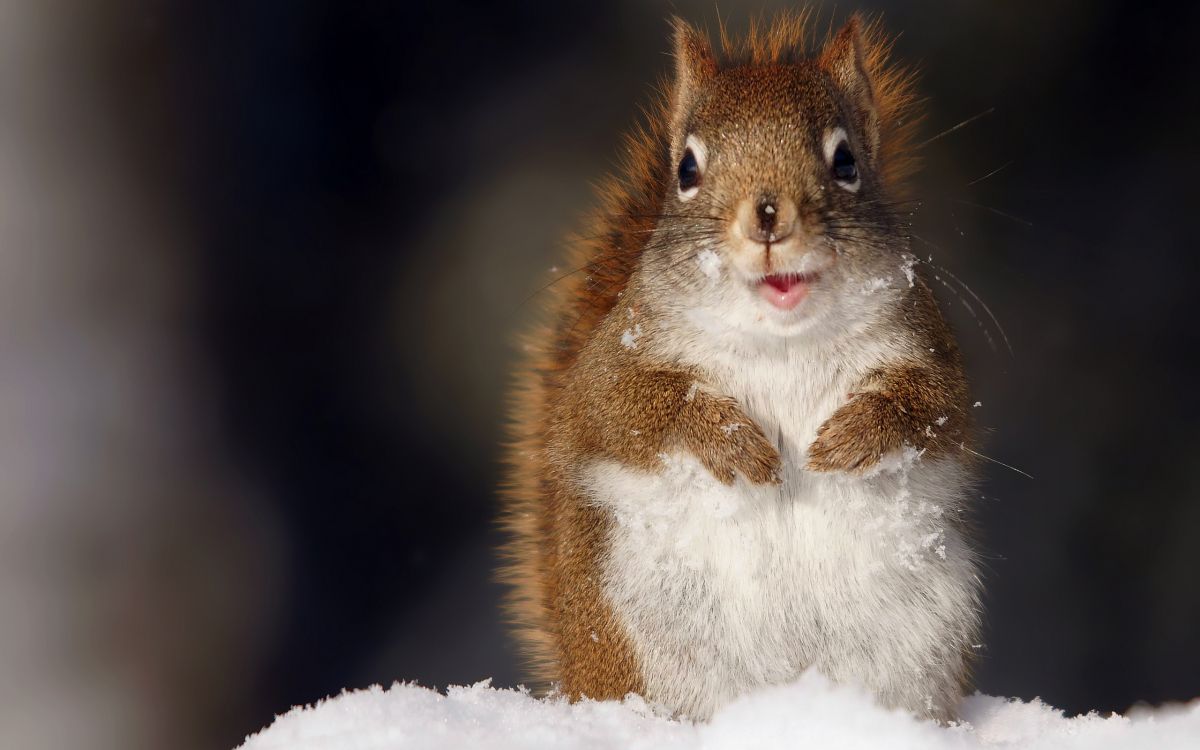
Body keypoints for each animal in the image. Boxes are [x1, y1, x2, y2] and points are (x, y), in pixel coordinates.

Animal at [500, 12, 982, 723]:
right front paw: (731, 442)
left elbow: (932, 410)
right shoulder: (610, 369)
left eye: (846, 161)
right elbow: (629, 413)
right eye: (685, 168)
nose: (768, 217)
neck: (780, 340)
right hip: (638, 634)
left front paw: (855, 433)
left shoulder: (926, 348)